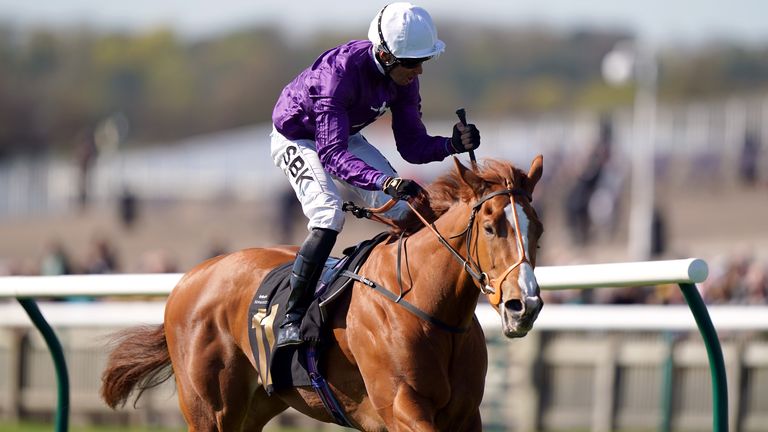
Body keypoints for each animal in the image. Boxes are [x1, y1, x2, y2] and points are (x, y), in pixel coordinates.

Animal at [102, 157, 544, 430]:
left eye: (537, 228)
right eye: (490, 227)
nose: (524, 306)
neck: (425, 307)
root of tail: (191, 277)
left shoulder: (466, 415)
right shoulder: (402, 408)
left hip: (256, 406)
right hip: (209, 410)